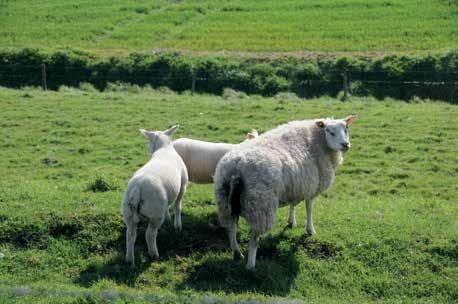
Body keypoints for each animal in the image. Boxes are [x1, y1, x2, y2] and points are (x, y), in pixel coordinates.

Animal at [121, 125, 188, 266]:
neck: (164, 149)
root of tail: (137, 188)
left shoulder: (166, 198)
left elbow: (168, 207)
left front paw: (168, 219)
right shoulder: (183, 186)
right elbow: (177, 206)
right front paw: (177, 225)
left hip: (128, 213)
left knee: (130, 235)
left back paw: (129, 260)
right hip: (155, 213)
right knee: (150, 235)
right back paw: (154, 254)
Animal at [215, 114, 358, 268]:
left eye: (346, 129)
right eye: (329, 131)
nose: (345, 145)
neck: (318, 142)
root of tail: (236, 166)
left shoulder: (296, 185)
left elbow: (293, 205)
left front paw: (291, 222)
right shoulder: (311, 187)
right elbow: (309, 208)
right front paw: (310, 230)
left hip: (225, 201)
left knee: (231, 228)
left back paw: (237, 253)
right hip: (261, 205)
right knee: (254, 238)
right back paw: (250, 265)